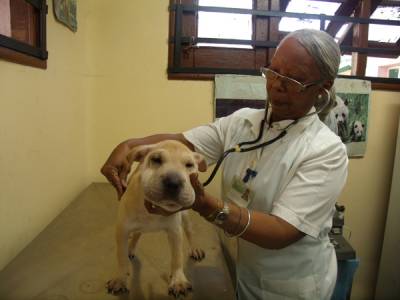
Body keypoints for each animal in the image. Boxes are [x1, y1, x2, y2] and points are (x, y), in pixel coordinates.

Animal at [106, 140, 206, 298]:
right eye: (156, 159)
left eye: (189, 165)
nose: (173, 182)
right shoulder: (122, 230)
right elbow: (121, 257)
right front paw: (120, 279)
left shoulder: (175, 231)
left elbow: (177, 257)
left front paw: (178, 280)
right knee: (137, 234)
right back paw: (131, 248)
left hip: (185, 217)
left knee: (190, 232)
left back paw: (195, 248)